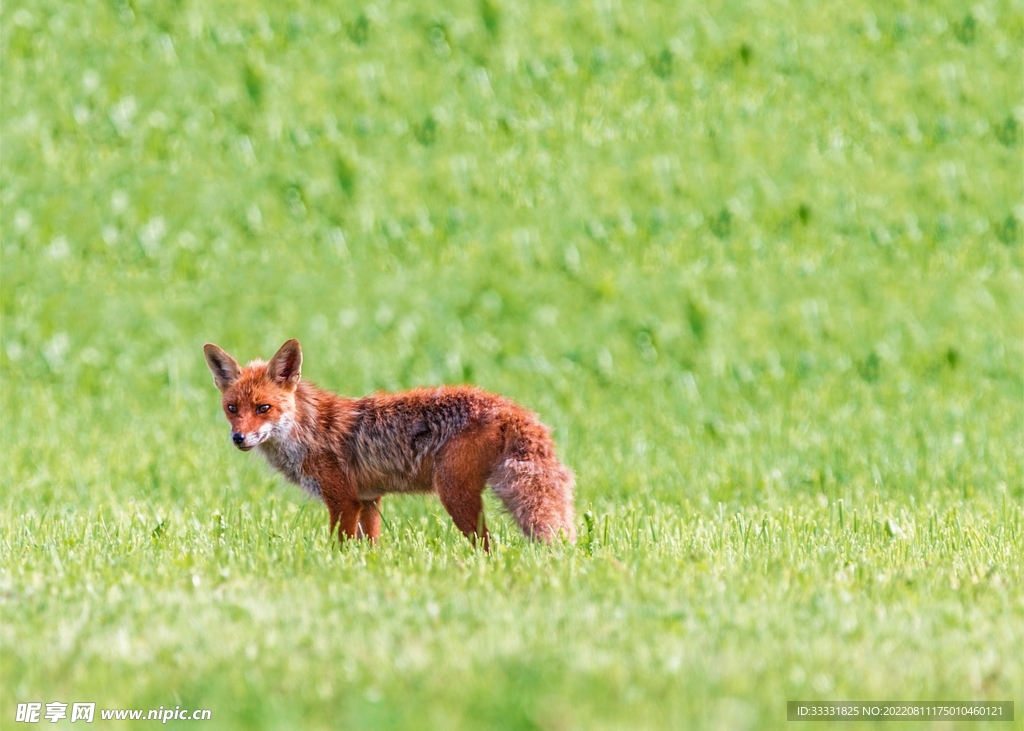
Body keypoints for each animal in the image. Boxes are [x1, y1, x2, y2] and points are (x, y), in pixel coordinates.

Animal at [205, 337, 577, 548]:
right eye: (232, 409)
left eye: (263, 408)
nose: (239, 438)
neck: (307, 432)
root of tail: (506, 406)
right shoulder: (369, 500)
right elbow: (370, 548)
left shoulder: (343, 501)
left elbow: (338, 547)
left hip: (454, 494)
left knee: (488, 548)